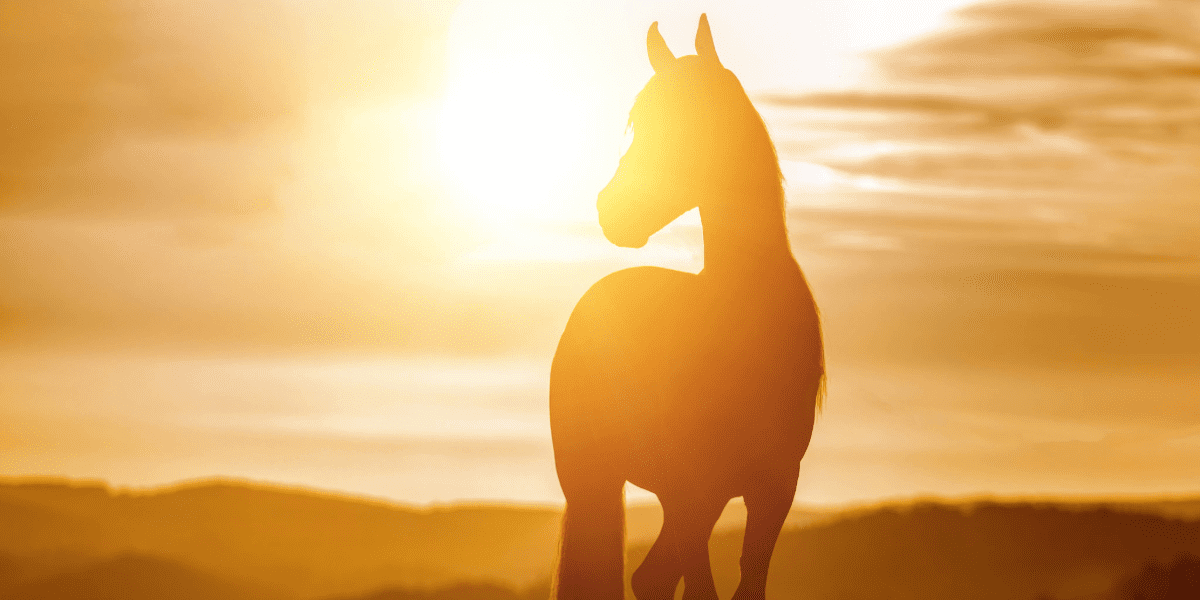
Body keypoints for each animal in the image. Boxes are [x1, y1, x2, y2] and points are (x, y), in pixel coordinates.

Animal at [549, 14, 825, 600]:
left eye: (688, 123)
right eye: (639, 123)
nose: (611, 212)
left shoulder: (773, 491)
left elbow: (748, 582)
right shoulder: (692, 488)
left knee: (652, 576)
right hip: (602, 482)